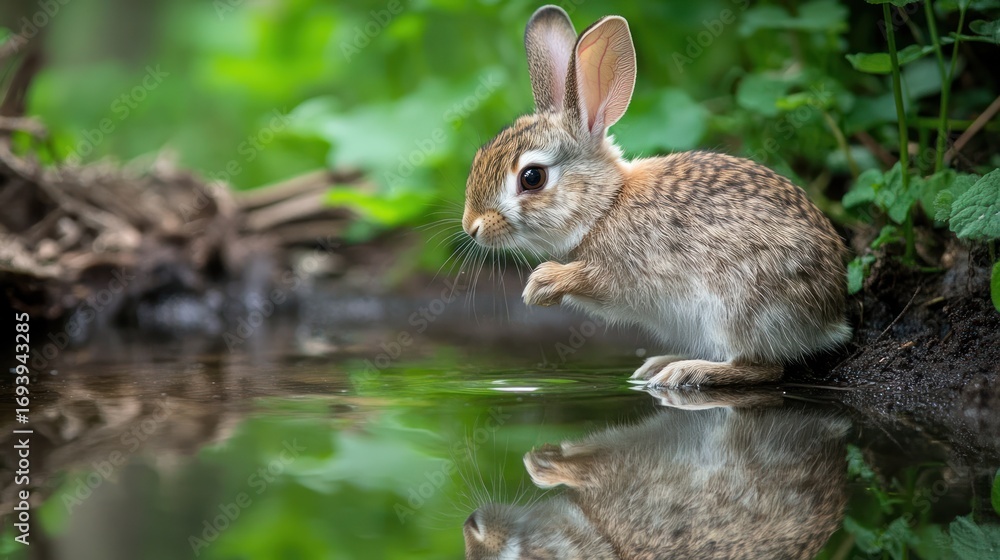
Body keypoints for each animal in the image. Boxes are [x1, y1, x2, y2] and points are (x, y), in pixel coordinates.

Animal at [461, 5, 850, 387]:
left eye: (532, 178)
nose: (472, 227)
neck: (605, 206)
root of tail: (830, 317)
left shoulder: (629, 272)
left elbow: (597, 280)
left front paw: (541, 285)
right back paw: (657, 366)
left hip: (738, 307)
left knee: (764, 367)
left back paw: (685, 372)